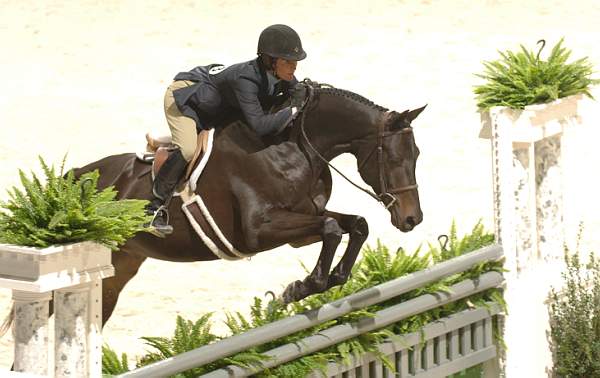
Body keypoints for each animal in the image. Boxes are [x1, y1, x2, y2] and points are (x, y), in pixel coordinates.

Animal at [1, 83, 422, 334]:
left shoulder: (301, 226)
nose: (411, 219)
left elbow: (355, 225)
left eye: (416, 154)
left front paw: (323, 281)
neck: (293, 145)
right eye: (392, 156)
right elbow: (334, 230)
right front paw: (300, 288)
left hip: (117, 269)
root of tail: (70, 179)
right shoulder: (260, 230)